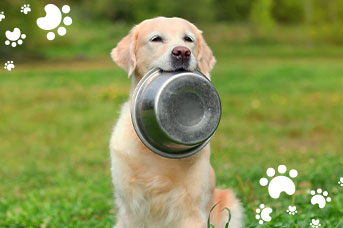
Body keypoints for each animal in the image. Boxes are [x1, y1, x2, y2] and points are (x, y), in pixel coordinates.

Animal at [111, 16, 245, 227]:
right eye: (156, 39)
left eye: (188, 39)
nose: (182, 52)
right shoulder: (131, 209)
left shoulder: (192, 210)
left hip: (228, 202)